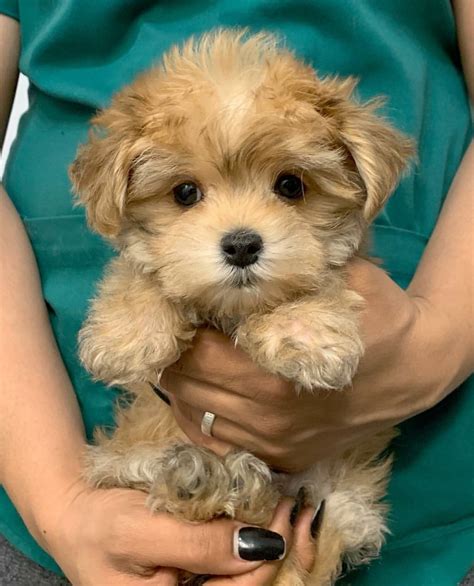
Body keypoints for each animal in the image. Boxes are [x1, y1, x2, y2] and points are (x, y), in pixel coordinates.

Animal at [70, 30, 414, 584]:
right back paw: (203, 480)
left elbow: (320, 276)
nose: (241, 245)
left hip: (340, 497)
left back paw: (238, 486)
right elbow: (141, 271)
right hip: (128, 459)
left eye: (291, 185)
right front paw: (126, 334)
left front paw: (305, 333)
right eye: (185, 192)